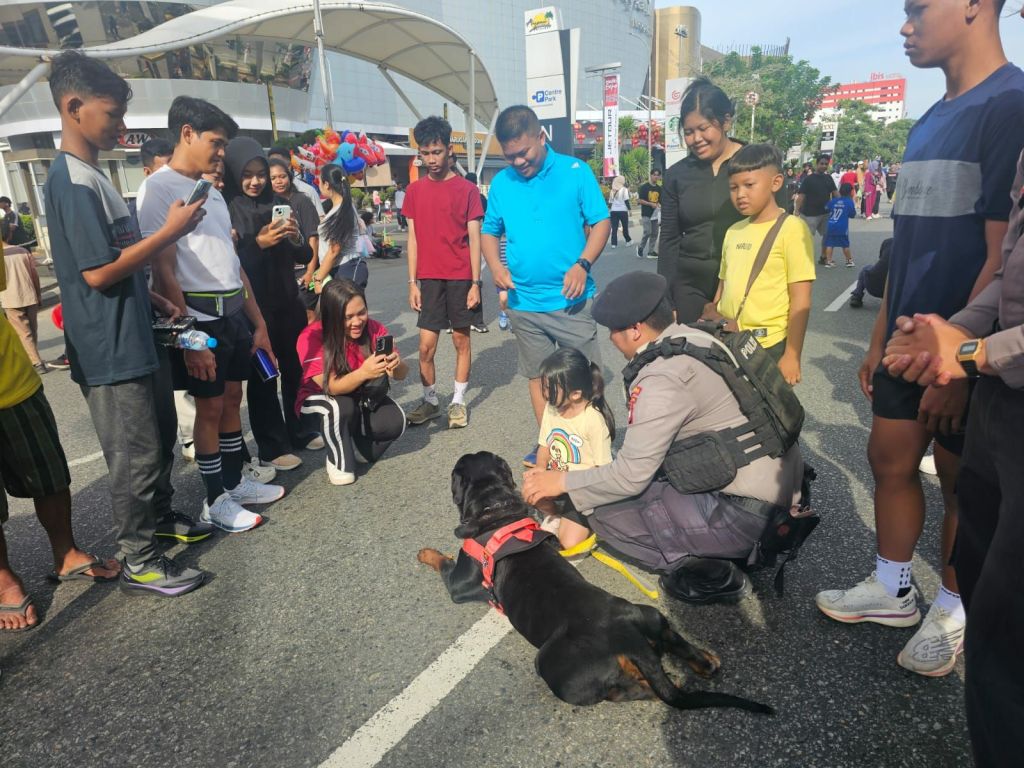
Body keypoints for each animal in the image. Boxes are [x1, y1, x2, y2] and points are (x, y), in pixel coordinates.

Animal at [417, 451, 773, 714]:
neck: (496, 508)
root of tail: (628, 638)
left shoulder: (461, 583)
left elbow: (443, 562)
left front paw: (425, 552)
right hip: (649, 614)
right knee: (672, 638)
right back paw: (705, 661)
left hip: (554, 667)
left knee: (636, 691)